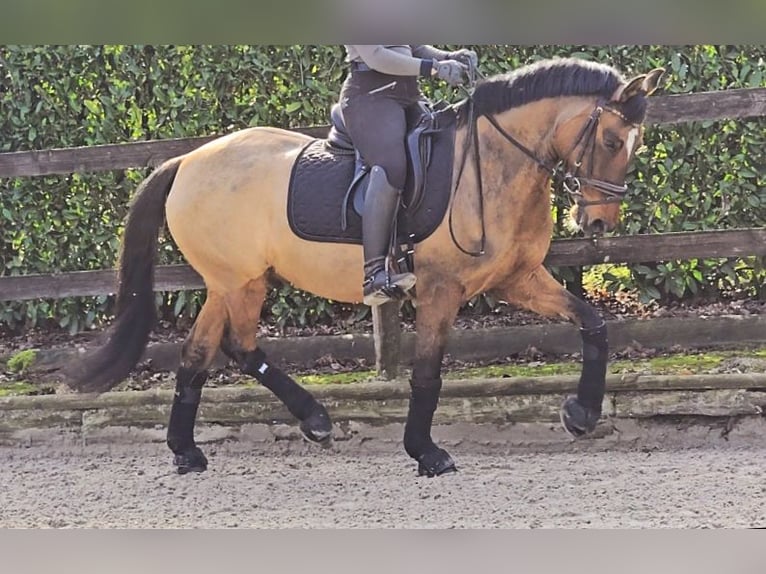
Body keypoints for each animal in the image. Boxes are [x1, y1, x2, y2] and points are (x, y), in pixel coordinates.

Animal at [70, 58, 664, 480]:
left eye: (635, 144)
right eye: (612, 139)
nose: (598, 221)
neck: (494, 161)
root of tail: (187, 161)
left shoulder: (517, 279)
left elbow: (592, 321)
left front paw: (581, 414)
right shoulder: (442, 288)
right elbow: (427, 371)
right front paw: (426, 453)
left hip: (239, 280)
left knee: (212, 351)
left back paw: (208, 447)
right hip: (234, 280)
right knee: (223, 347)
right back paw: (277, 428)